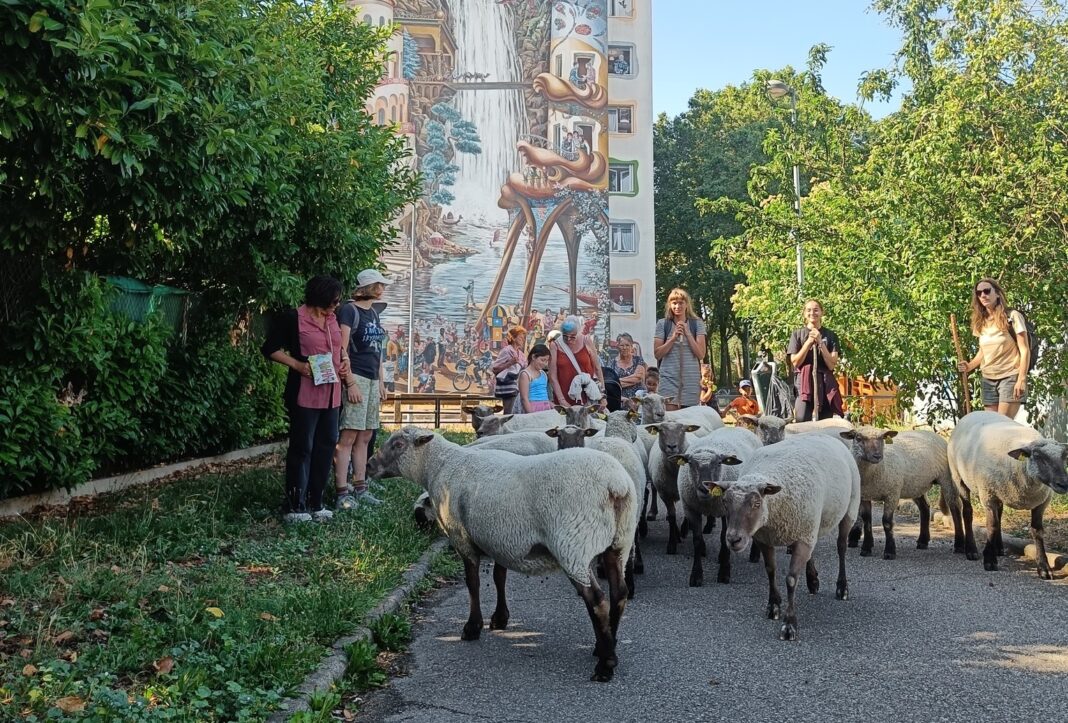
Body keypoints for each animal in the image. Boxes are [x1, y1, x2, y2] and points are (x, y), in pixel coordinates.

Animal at [367, 425, 632, 679]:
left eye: (398, 444)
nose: (369, 465)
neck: (439, 465)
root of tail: (615, 485)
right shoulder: (501, 539)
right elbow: (498, 578)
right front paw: (499, 618)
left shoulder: (462, 537)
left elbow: (472, 583)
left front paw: (472, 627)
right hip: (619, 542)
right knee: (619, 592)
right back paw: (606, 645)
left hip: (573, 545)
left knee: (597, 600)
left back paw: (605, 664)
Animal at [670, 422, 764, 585]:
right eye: (690, 463)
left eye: (719, 463)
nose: (704, 488)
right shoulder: (691, 509)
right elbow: (697, 540)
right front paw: (696, 575)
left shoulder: (727, 511)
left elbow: (723, 539)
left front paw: (724, 573)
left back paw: (754, 555)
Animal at [713, 431, 862, 640]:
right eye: (725, 502)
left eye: (757, 503)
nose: (734, 540)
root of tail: (825, 434)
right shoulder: (765, 538)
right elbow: (770, 570)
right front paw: (773, 606)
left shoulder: (799, 535)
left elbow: (791, 579)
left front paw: (789, 625)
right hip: (809, 525)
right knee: (812, 550)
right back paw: (812, 581)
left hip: (849, 508)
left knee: (841, 547)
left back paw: (842, 588)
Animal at [837, 429, 965, 559]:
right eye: (858, 438)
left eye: (882, 438)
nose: (877, 456)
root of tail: (933, 434)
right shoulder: (865, 495)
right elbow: (867, 521)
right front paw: (866, 549)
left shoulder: (892, 493)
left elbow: (887, 522)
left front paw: (889, 551)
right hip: (916, 485)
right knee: (924, 507)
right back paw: (923, 541)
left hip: (947, 478)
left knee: (955, 507)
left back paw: (959, 545)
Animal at [952, 407, 1068, 576]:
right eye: (1037, 456)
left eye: (1064, 456)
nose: (1064, 484)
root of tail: (973, 412)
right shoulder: (988, 496)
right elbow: (991, 526)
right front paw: (989, 560)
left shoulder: (1041, 502)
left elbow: (1037, 531)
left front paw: (1044, 567)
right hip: (959, 478)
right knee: (967, 512)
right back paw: (971, 550)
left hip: (1000, 491)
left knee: (999, 514)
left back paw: (999, 548)